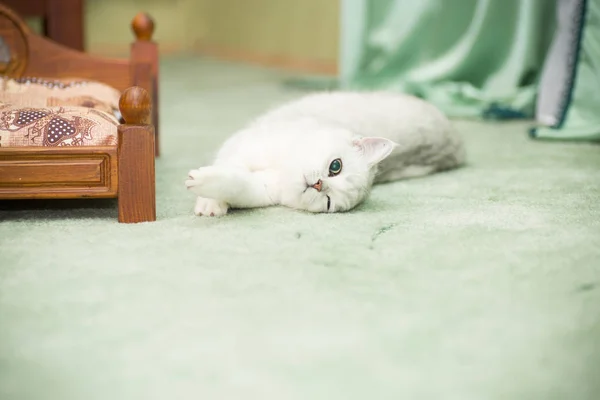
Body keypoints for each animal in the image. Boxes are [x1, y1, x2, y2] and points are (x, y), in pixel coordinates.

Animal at [185, 91, 466, 216]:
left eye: (329, 202)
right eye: (335, 166)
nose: (319, 185)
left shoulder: (258, 187)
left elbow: (234, 183)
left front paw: (211, 197)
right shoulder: (242, 146)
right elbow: (229, 165)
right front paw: (210, 201)